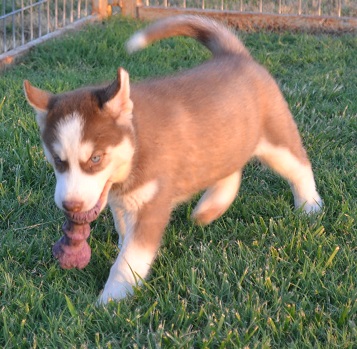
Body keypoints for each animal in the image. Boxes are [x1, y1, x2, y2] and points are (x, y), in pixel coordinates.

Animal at [23, 14, 322, 302]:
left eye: (96, 158)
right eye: (57, 160)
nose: (70, 205)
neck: (135, 147)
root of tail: (234, 54)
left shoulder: (152, 204)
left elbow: (131, 258)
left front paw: (111, 299)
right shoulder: (121, 201)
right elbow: (123, 231)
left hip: (276, 140)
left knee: (299, 167)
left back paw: (310, 206)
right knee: (230, 169)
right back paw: (209, 208)